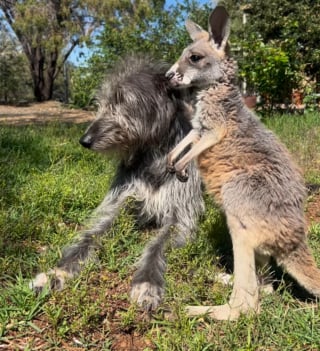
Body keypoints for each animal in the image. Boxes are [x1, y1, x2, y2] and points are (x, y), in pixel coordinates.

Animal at [30, 55, 205, 310]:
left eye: (123, 100)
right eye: (102, 102)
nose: (85, 141)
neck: (152, 157)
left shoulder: (181, 215)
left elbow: (156, 246)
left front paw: (146, 283)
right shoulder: (120, 202)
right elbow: (91, 235)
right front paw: (57, 272)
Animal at [165, 4, 320, 322]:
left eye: (194, 58)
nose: (167, 76)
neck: (213, 90)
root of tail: (294, 240)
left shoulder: (214, 128)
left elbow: (200, 145)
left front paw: (181, 167)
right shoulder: (197, 128)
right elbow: (185, 143)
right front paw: (173, 162)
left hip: (241, 200)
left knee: (248, 304)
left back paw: (203, 310)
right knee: (267, 288)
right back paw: (226, 278)